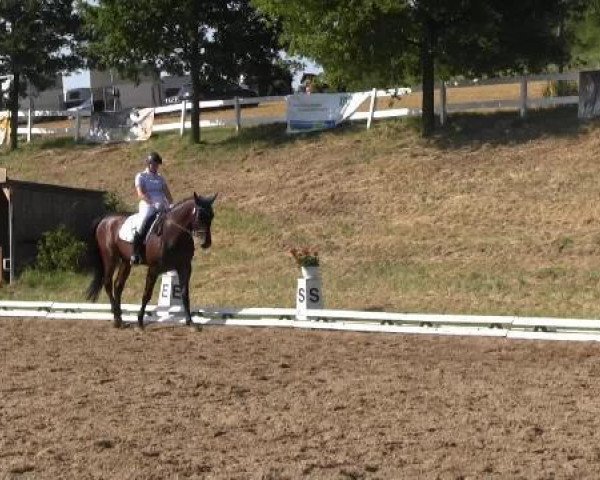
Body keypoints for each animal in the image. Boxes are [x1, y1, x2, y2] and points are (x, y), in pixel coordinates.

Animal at [84, 193, 216, 328]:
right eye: (200, 215)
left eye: (212, 216)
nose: (206, 243)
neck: (173, 233)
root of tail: (105, 219)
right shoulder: (154, 268)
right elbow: (147, 294)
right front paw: (140, 321)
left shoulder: (185, 267)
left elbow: (185, 294)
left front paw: (190, 322)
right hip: (110, 258)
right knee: (108, 283)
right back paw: (116, 319)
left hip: (126, 262)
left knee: (118, 286)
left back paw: (120, 318)